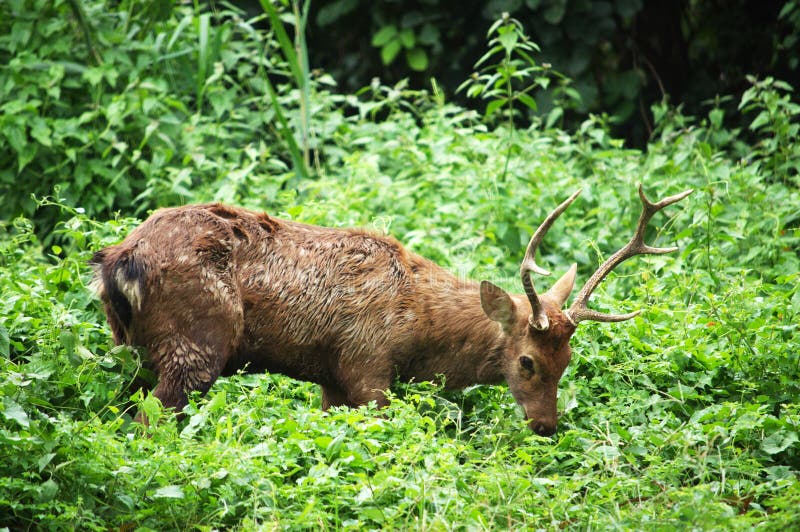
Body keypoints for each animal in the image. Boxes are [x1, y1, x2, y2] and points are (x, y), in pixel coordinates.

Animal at [89, 185, 692, 434]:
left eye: (568, 363)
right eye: (527, 362)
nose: (547, 426)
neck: (416, 330)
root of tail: (119, 259)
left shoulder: (332, 379)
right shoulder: (366, 365)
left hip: (131, 345)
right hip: (198, 340)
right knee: (148, 422)